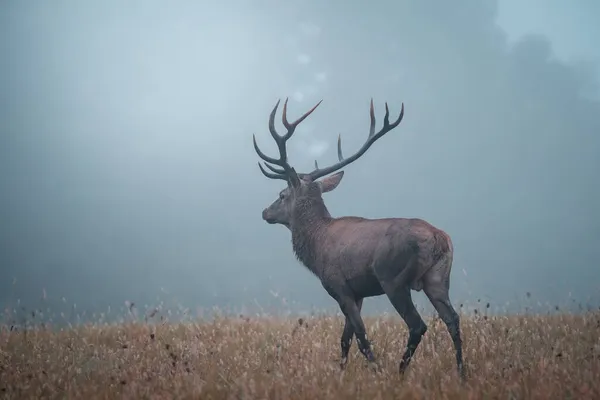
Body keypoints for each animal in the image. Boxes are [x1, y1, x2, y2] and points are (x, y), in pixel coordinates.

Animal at [251, 97, 466, 378]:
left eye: (282, 194)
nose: (265, 212)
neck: (316, 247)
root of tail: (439, 239)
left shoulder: (339, 286)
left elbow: (361, 336)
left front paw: (375, 371)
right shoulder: (358, 292)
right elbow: (345, 339)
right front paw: (341, 373)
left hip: (393, 279)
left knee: (417, 325)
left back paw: (398, 373)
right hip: (438, 278)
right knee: (453, 319)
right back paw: (462, 373)